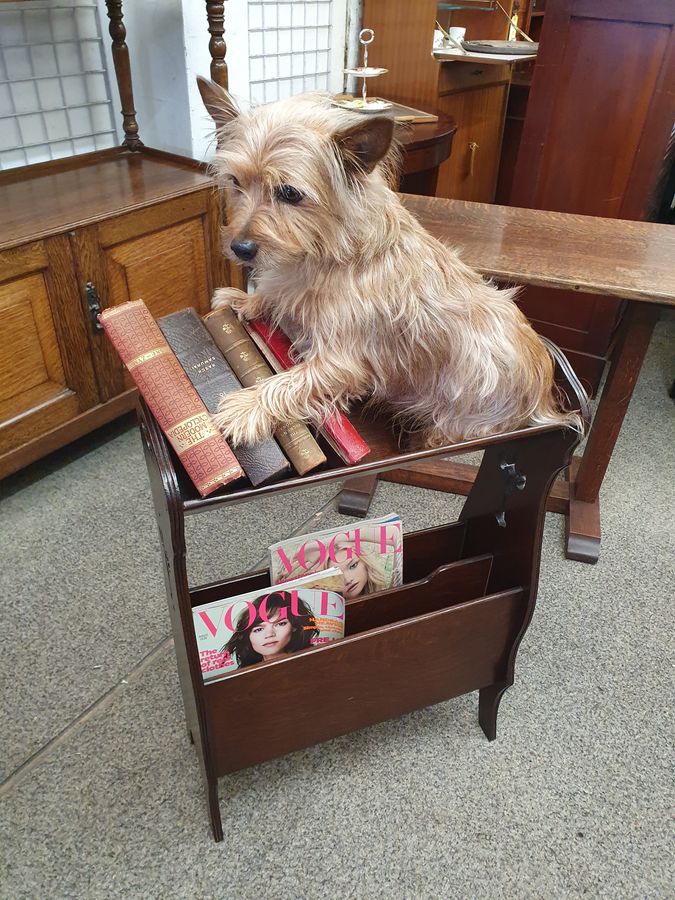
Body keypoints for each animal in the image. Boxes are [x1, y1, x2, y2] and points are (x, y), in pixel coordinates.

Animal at [197, 79, 580, 448]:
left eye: (290, 193)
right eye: (235, 182)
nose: (240, 248)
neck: (323, 253)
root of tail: (545, 399)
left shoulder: (340, 364)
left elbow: (289, 382)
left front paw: (247, 406)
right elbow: (271, 296)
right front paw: (243, 299)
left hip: (456, 424)